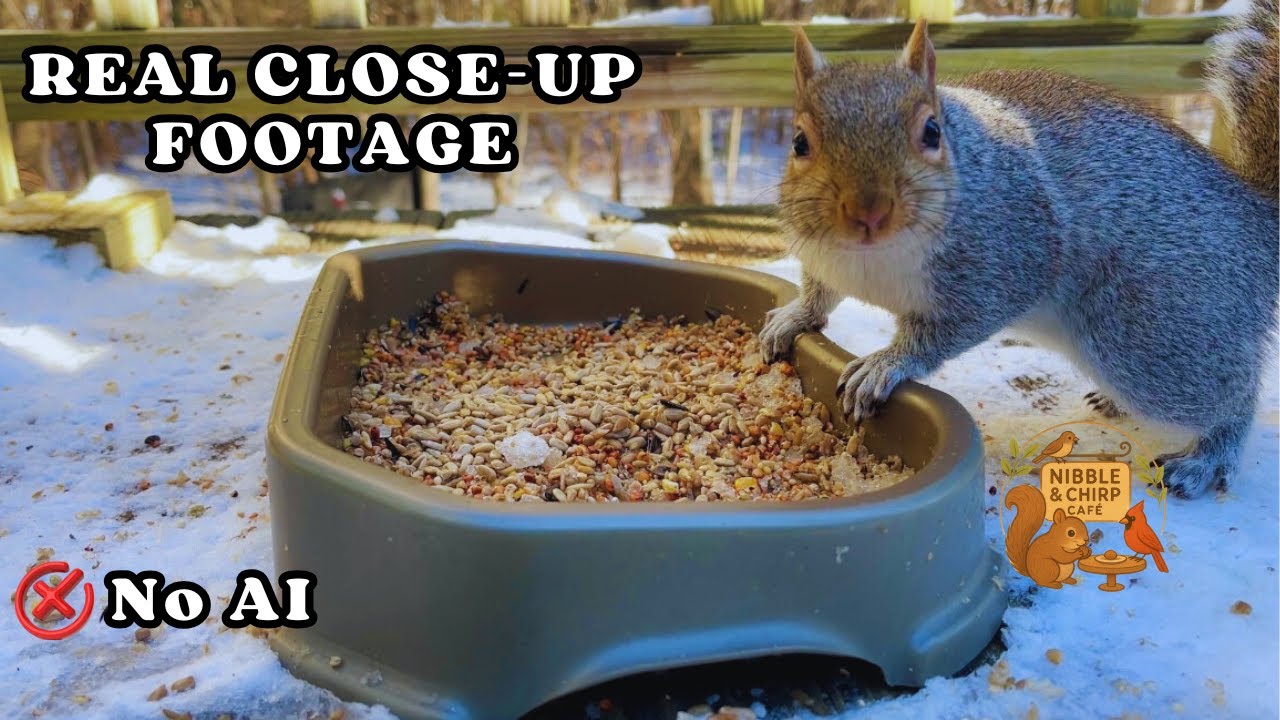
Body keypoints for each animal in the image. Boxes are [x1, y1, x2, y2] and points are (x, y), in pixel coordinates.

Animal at [759, 2, 1279, 499]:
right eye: (799, 142)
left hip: (1152, 330)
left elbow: (945, 331)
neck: (873, 259)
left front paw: (887, 363)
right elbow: (819, 292)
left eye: (932, 132)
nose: (869, 213)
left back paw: (1210, 456)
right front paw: (794, 316)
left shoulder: (1008, 260)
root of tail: (1258, 221)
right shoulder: (826, 258)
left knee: (1231, 394)